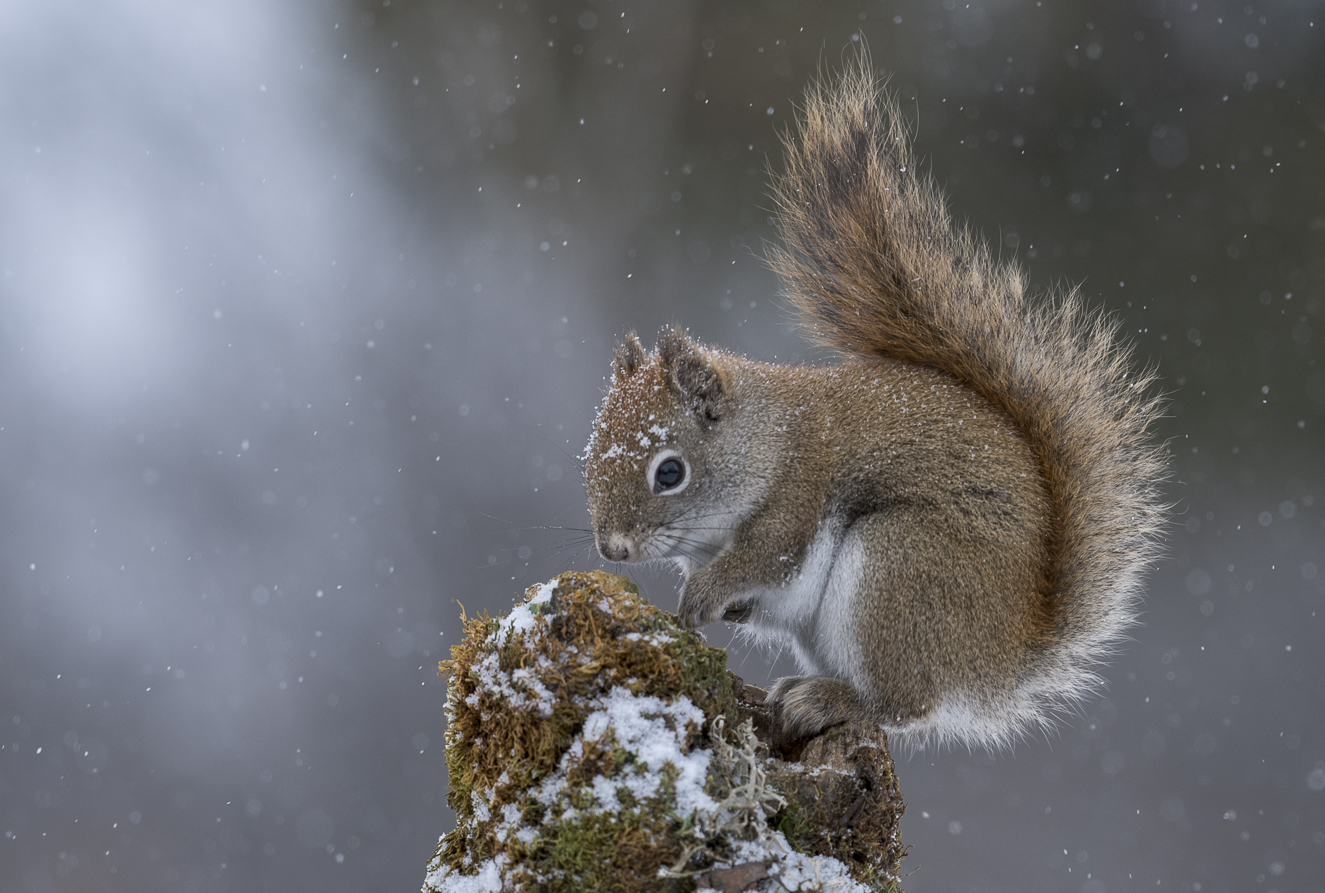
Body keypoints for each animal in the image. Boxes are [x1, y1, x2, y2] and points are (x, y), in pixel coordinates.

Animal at [582, 57, 1168, 749]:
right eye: (589, 456)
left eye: (669, 472)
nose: (613, 550)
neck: (766, 442)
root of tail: (999, 660)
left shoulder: (798, 498)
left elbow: (763, 556)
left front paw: (701, 597)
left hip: (898, 569)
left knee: (904, 705)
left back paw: (830, 700)